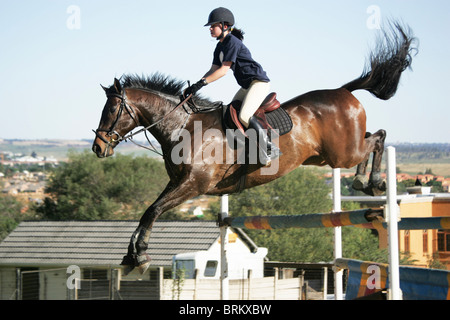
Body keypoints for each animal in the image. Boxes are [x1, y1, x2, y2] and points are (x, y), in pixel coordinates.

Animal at [92, 21, 418, 274]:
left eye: (112, 110)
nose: (97, 148)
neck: (183, 126)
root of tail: (343, 91)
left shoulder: (194, 185)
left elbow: (153, 210)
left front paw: (140, 255)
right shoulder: (177, 182)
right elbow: (149, 210)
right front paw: (132, 255)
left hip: (342, 153)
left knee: (378, 138)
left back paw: (371, 181)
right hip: (324, 157)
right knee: (371, 137)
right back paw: (363, 180)